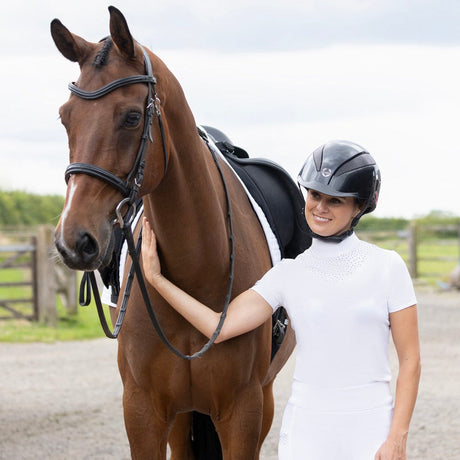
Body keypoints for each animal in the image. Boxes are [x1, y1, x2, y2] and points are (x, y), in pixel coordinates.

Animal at [50, 7, 294, 460]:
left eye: (131, 117)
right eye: (64, 117)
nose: (74, 241)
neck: (195, 270)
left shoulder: (244, 412)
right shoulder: (142, 411)